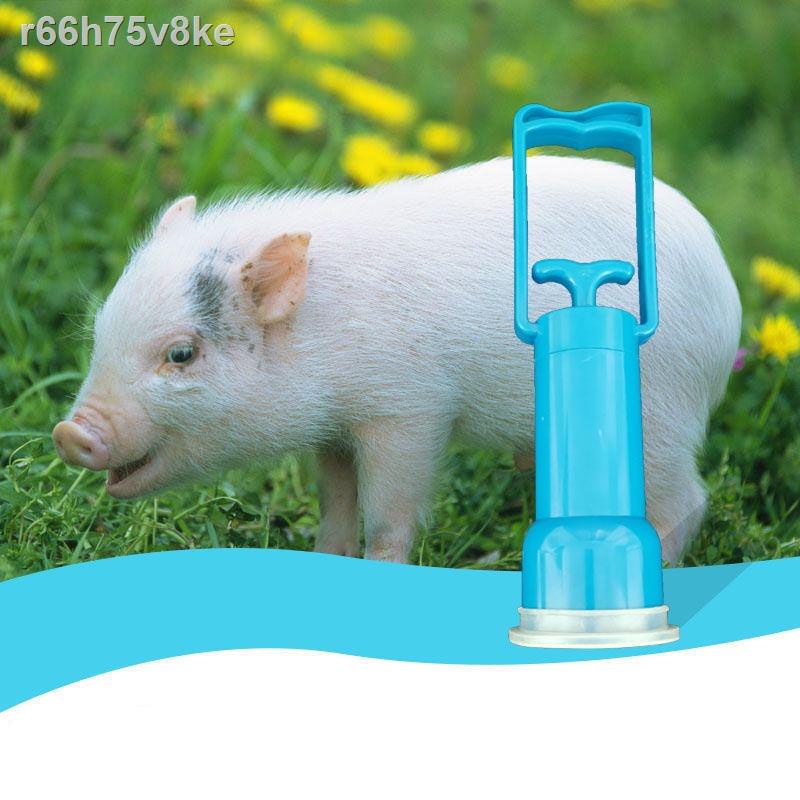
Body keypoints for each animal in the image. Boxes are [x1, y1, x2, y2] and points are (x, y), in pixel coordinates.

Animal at [52, 156, 741, 564]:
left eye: (181, 354)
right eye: (101, 331)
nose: (69, 432)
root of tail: (727, 300)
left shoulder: (409, 410)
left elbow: (388, 519)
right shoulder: (334, 429)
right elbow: (336, 509)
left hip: (661, 415)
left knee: (686, 502)